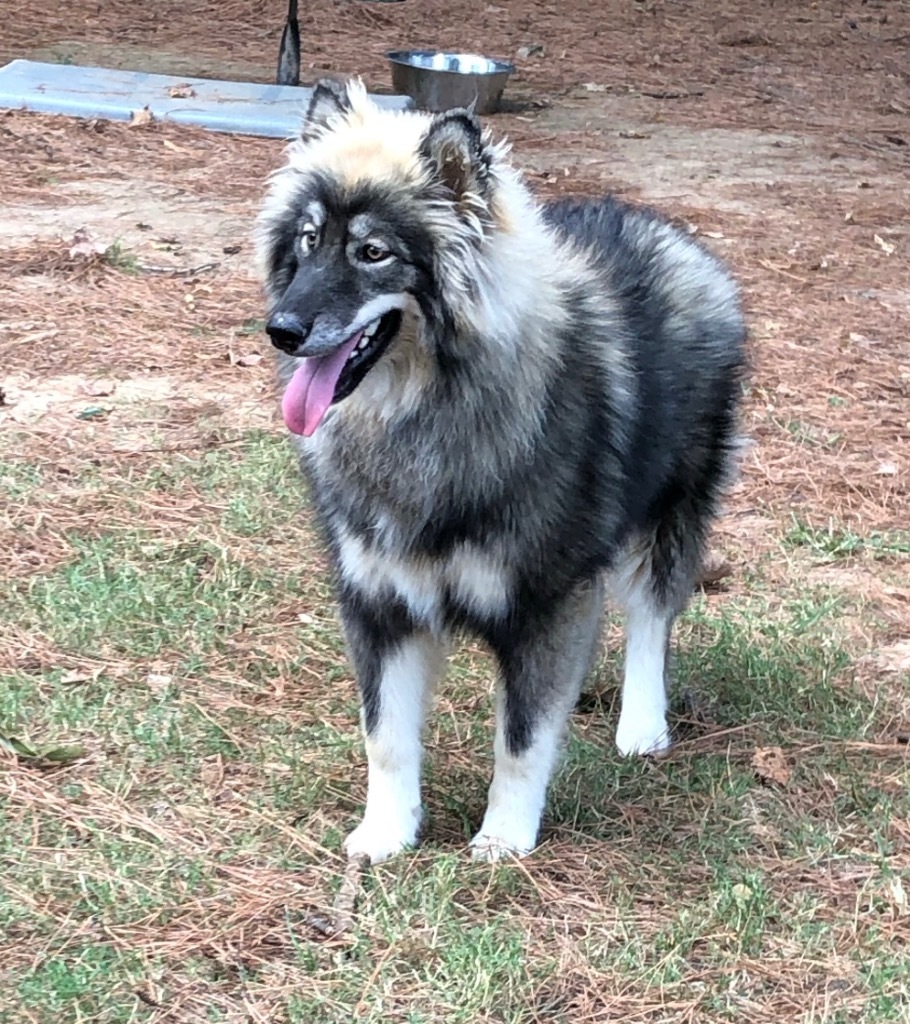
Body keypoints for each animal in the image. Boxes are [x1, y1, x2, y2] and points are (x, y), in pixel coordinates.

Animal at [253, 81, 745, 864]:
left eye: (373, 252)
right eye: (306, 241)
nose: (282, 329)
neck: (425, 413)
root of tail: (668, 232)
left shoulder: (545, 599)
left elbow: (521, 738)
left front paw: (504, 839)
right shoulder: (380, 604)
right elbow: (385, 737)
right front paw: (387, 833)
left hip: (671, 510)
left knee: (650, 617)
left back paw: (642, 725)